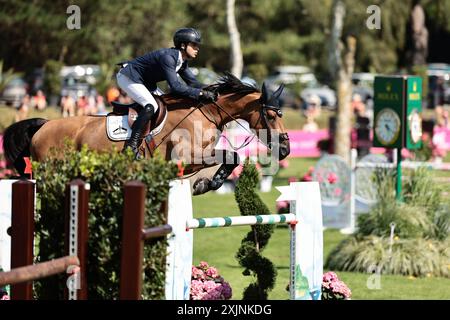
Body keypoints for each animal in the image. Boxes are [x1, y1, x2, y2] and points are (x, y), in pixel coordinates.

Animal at [3, 74, 290, 195]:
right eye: (271, 116)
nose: (286, 149)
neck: (206, 111)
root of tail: (44, 125)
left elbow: (230, 159)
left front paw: (206, 184)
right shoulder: (185, 158)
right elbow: (231, 156)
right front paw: (208, 184)